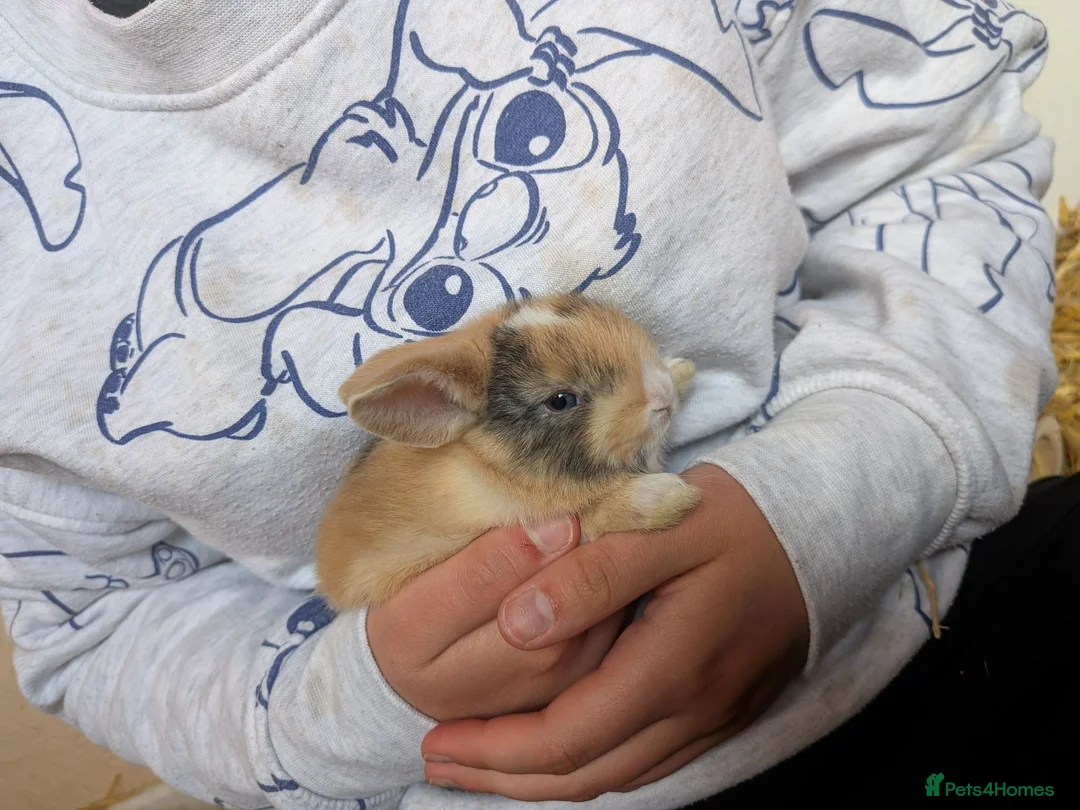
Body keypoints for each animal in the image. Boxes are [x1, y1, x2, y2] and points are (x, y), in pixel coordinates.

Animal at [315, 292, 700, 609]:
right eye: (561, 401)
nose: (662, 395)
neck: (493, 462)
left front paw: (681, 369)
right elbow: (596, 517)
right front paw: (669, 497)